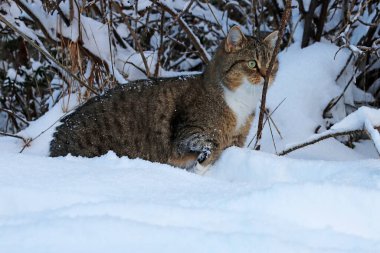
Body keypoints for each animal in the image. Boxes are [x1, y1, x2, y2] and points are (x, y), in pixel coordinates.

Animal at [49, 26, 280, 175]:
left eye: (272, 63)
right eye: (252, 63)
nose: (267, 75)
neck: (241, 100)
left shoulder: (237, 139)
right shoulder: (186, 133)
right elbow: (211, 143)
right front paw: (199, 166)